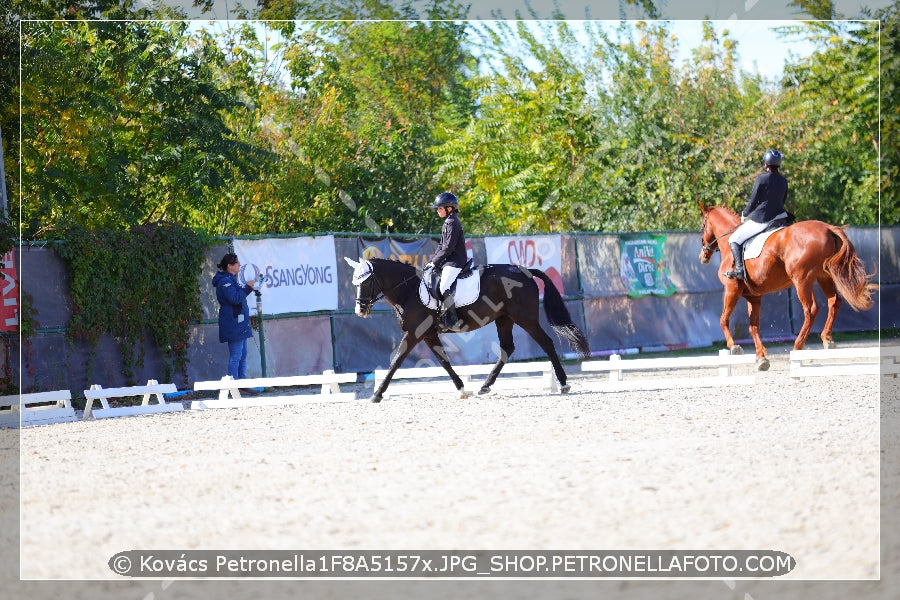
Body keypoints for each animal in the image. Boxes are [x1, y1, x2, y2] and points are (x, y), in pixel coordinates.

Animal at [344, 258, 592, 404]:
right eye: (355, 282)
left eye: (366, 282)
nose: (360, 310)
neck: (409, 290)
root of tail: (525, 271)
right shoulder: (428, 334)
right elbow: (444, 362)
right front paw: (462, 389)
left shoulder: (415, 333)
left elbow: (396, 361)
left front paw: (377, 394)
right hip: (504, 319)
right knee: (507, 349)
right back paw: (484, 386)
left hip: (525, 319)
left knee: (546, 343)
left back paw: (564, 384)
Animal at [700, 204, 876, 368]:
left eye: (703, 225)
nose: (703, 255)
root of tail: (828, 228)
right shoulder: (753, 296)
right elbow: (753, 327)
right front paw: (761, 358)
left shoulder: (732, 289)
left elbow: (723, 319)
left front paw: (734, 347)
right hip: (823, 277)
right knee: (834, 302)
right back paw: (827, 339)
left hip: (802, 280)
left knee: (811, 310)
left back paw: (798, 346)